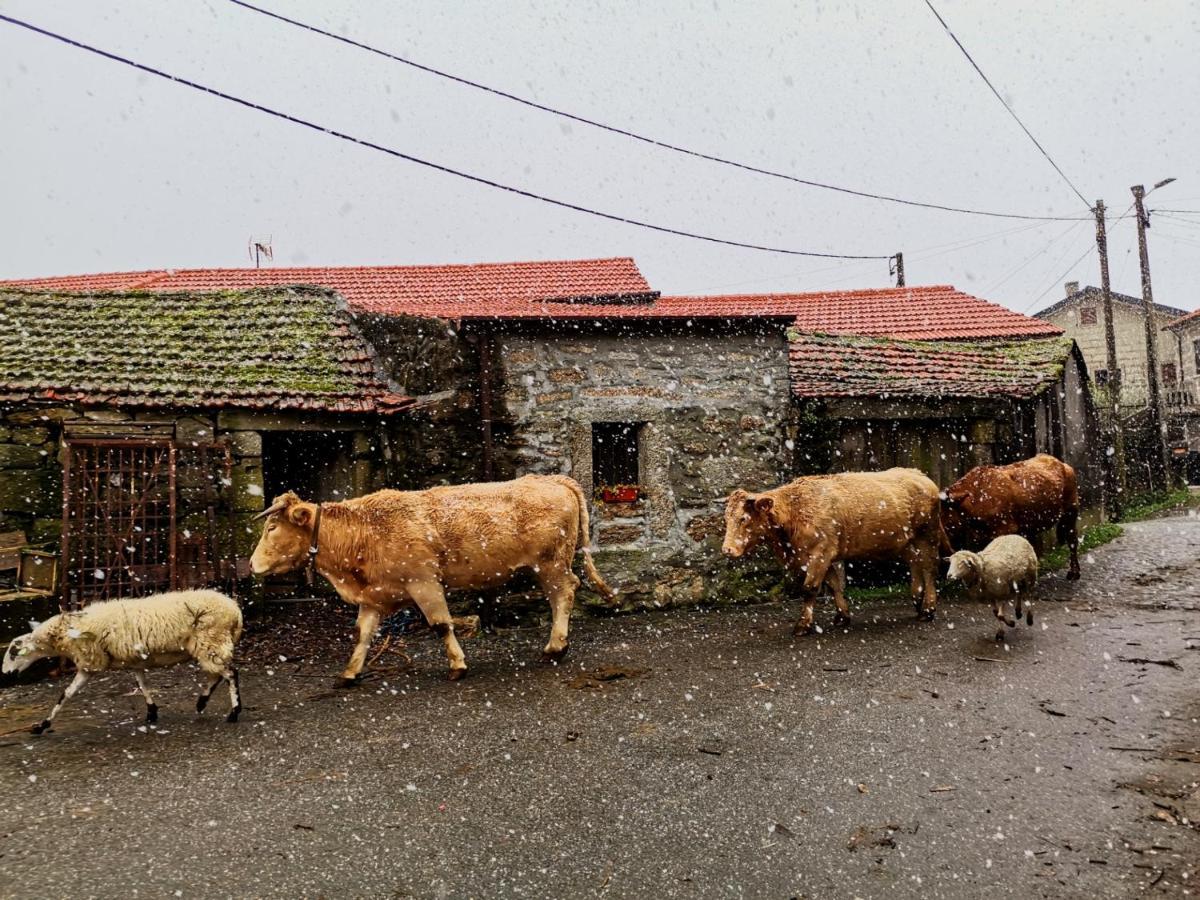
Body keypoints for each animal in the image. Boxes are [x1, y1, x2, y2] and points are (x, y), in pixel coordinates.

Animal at [0, 588, 246, 734]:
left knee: (230, 673)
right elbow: (141, 684)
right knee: (216, 674)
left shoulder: (90, 662)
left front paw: (42, 725)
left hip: (210, 640)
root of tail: (235, 609)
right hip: (210, 645)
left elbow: (66, 694)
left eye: (12, 653)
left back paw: (234, 712)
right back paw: (202, 702)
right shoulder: (131, 659)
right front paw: (151, 712)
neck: (65, 633)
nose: (6, 675)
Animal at [248, 475, 614, 686]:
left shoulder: (424, 582)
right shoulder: (373, 595)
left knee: (564, 593)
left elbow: (440, 625)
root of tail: (552, 478)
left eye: (272, 528)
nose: (251, 564)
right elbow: (362, 634)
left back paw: (555, 646)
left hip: (551, 563)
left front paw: (458, 665)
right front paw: (350, 673)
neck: (365, 531)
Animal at [720, 468, 945, 638]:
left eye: (743, 518)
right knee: (916, 564)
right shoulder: (824, 556)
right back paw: (917, 601)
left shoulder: (820, 553)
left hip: (928, 536)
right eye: (726, 518)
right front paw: (842, 616)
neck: (795, 511)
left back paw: (928, 610)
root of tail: (918, 473)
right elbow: (835, 585)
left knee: (929, 569)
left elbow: (810, 588)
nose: (727, 549)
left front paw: (803, 625)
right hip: (906, 542)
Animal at [940, 453, 1084, 580]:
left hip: (1071, 510)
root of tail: (1061, 463)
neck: (976, 496)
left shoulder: (1006, 529)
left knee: (1072, 539)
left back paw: (1074, 572)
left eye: (942, 514)